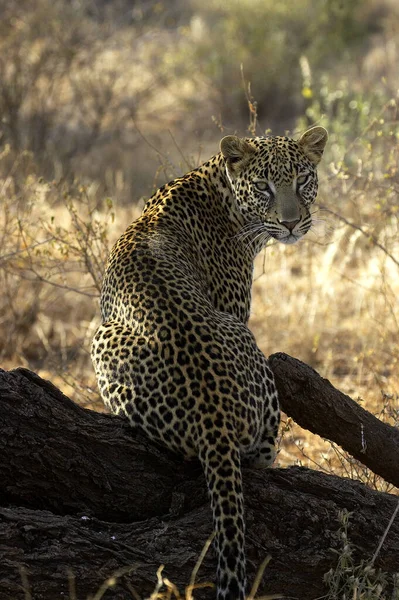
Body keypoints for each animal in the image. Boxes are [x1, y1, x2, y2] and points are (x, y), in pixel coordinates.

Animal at [90, 124, 328, 596]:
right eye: (265, 186)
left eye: (302, 180)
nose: (291, 223)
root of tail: (212, 415)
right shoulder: (235, 307)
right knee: (258, 458)